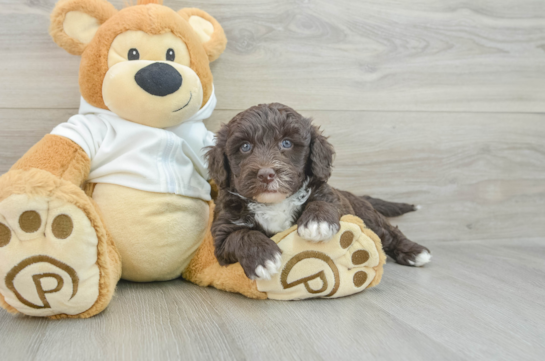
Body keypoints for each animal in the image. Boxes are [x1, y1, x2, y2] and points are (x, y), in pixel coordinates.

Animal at [206, 102, 432, 280]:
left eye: (286, 143)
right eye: (245, 147)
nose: (266, 174)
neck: (275, 203)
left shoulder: (329, 195)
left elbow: (322, 202)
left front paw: (317, 223)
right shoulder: (222, 233)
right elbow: (241, 235)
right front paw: (264, 258)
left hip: (367, 215)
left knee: (389, 232)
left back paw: (415, 252)